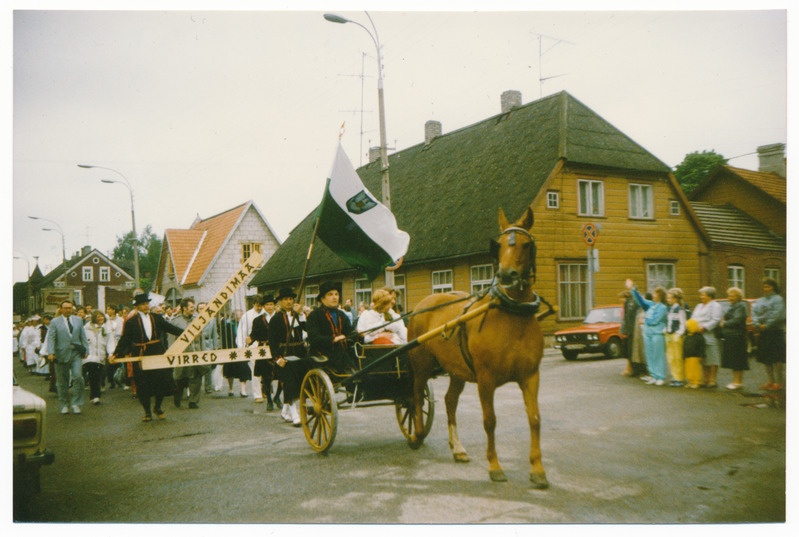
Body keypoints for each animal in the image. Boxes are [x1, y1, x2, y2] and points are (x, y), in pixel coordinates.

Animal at [410, 204, 548, 486]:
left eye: (526, 244)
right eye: (500, 244)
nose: (506, 275)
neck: (511, 315)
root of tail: (421, 305)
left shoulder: (530, 376)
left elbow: (535, 419)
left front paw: (538, 470)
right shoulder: (486, 379)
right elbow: (490, 421)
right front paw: (494, 466)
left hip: (456, 371)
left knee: (450, 401)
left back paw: (458, 448)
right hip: (421, 366)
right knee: (417, 397)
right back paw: (417, 434)